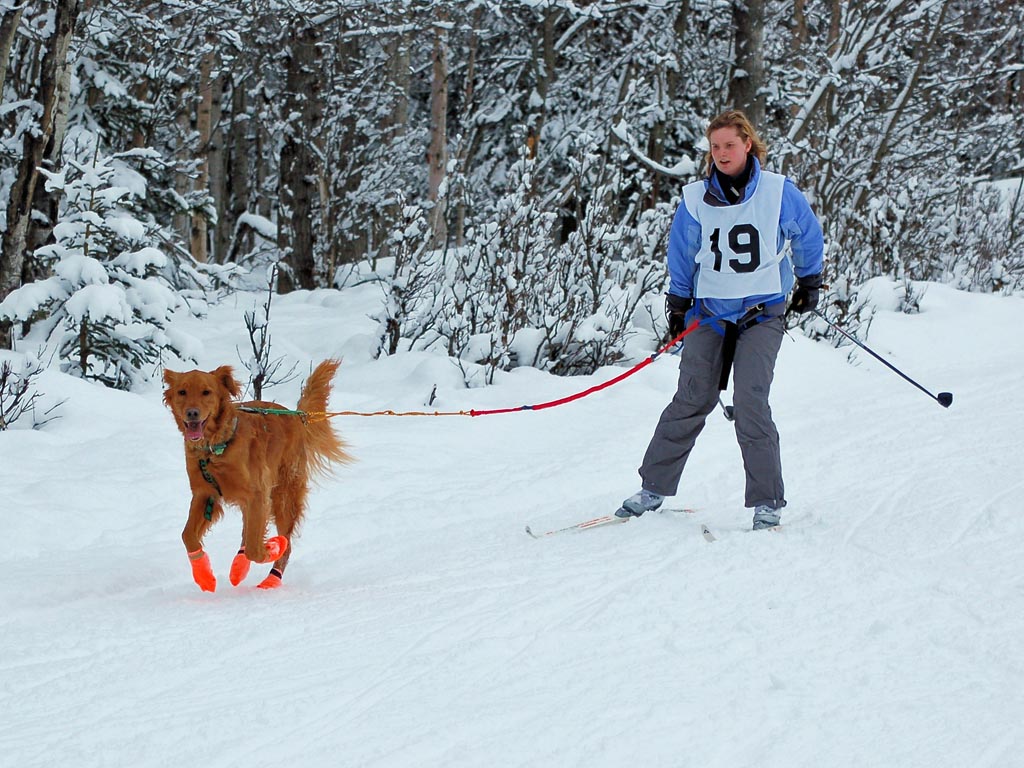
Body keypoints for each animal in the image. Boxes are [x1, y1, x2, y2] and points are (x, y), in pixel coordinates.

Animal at [161, 360, 350, 593]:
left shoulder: (257, 493)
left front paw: (272, 547)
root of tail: (296, 415)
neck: (215, 449)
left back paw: (272, 576)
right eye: (182, 392)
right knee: (247, 533)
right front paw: (204, 575)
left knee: (283, 542)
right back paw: (238, 569)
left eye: (206, 392)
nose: (192, 413)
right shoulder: (204, 494)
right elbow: (187, 535)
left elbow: (256, 548)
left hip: (283, 494)